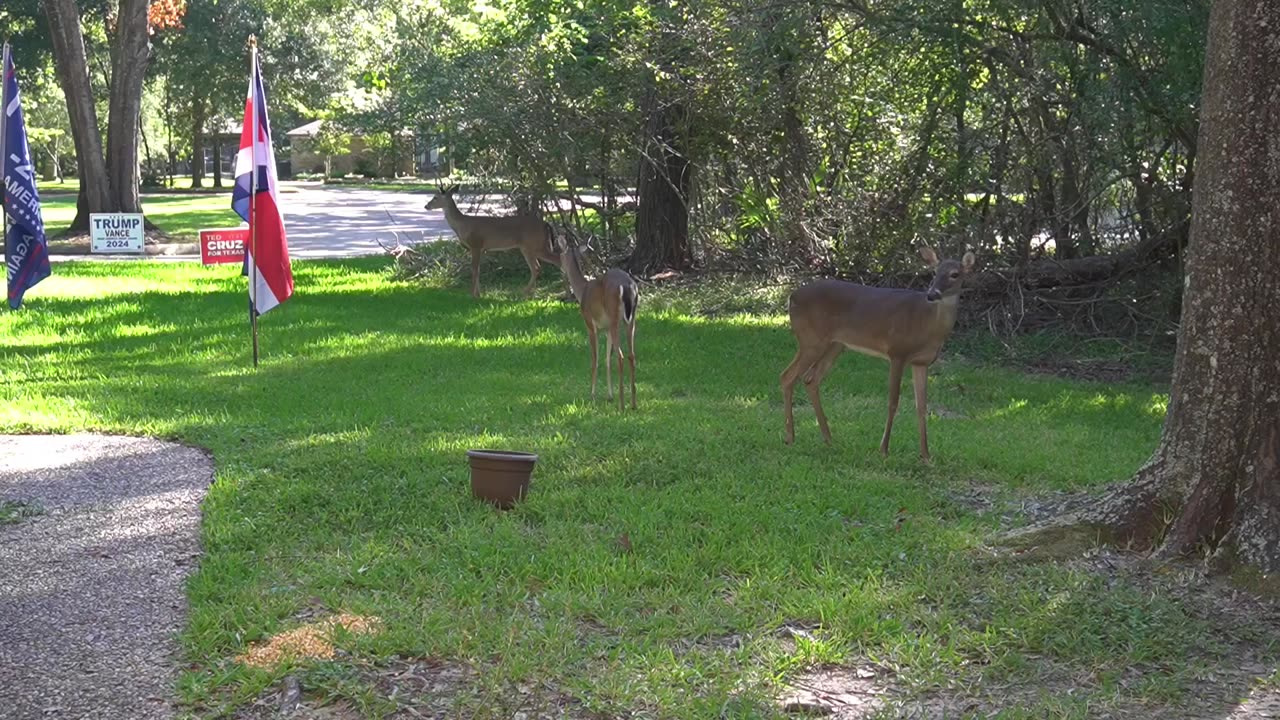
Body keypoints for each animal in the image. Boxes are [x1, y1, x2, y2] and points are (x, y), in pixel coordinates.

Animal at [424, 184, 560, 299]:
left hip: (536, 244)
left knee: (554, 261)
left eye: (435, 197)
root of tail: (546, 224)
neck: (462, 225)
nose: (426, 206)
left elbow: (474, 269)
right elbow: (478, 269)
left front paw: (472, 294)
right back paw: (528, 293)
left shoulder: (476, 244)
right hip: (529, 247)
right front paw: (478, 294)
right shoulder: (481, 248)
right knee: (537, 267)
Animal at [555, 230, 640, 409]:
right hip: (631, 319)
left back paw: (622, 404)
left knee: (621, 356)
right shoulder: (606, 328)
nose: (560, 269)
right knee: (631, 355)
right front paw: (609, 395)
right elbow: (607, 359)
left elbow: (595, 359)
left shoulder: (590, 324)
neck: (582, 291)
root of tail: (627, 286)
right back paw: (633, 403)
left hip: (615, 317)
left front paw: (592, 394)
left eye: (560, 254)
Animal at [773, 244, 972, 458]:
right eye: (934, 272)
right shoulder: (897, 352)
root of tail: (791, 296)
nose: (932, 294)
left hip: (835, 345)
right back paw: (790, 437)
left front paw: (925, 455)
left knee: (811, 379)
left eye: (954, 274)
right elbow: (893, 402)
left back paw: (828, 438)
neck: (929, 325)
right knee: (787, 376)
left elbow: (922, 406)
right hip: (811, 340)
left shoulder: (922, 362)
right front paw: (883, 449)